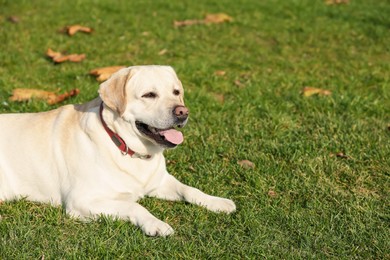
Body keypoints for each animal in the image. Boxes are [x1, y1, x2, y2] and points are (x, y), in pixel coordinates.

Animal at [0, 64, 235, 236]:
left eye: (176, 92)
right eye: (149, 95)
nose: (182, 112)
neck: (126, 146)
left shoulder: (160, 182)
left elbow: (190, 190)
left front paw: (217, 202)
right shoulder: (82, 201)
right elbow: (135, 206)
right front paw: (156, 224)